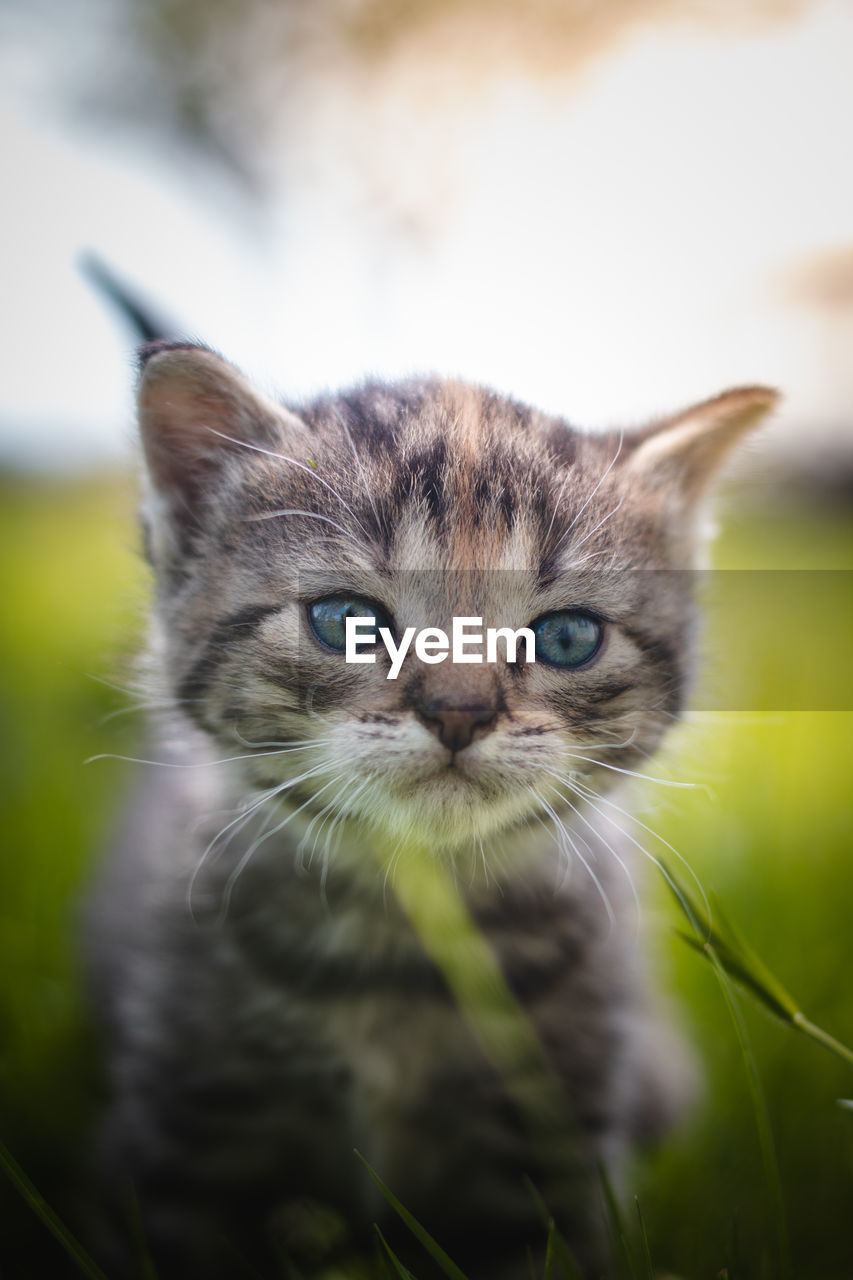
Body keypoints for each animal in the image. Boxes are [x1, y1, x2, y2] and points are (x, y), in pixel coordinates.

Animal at [84, 343, 768, 1280]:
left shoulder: (549, 1148)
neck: (400, 945)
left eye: (566, 638)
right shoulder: (183, 1130)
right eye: (345, 620)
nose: (458, 712)